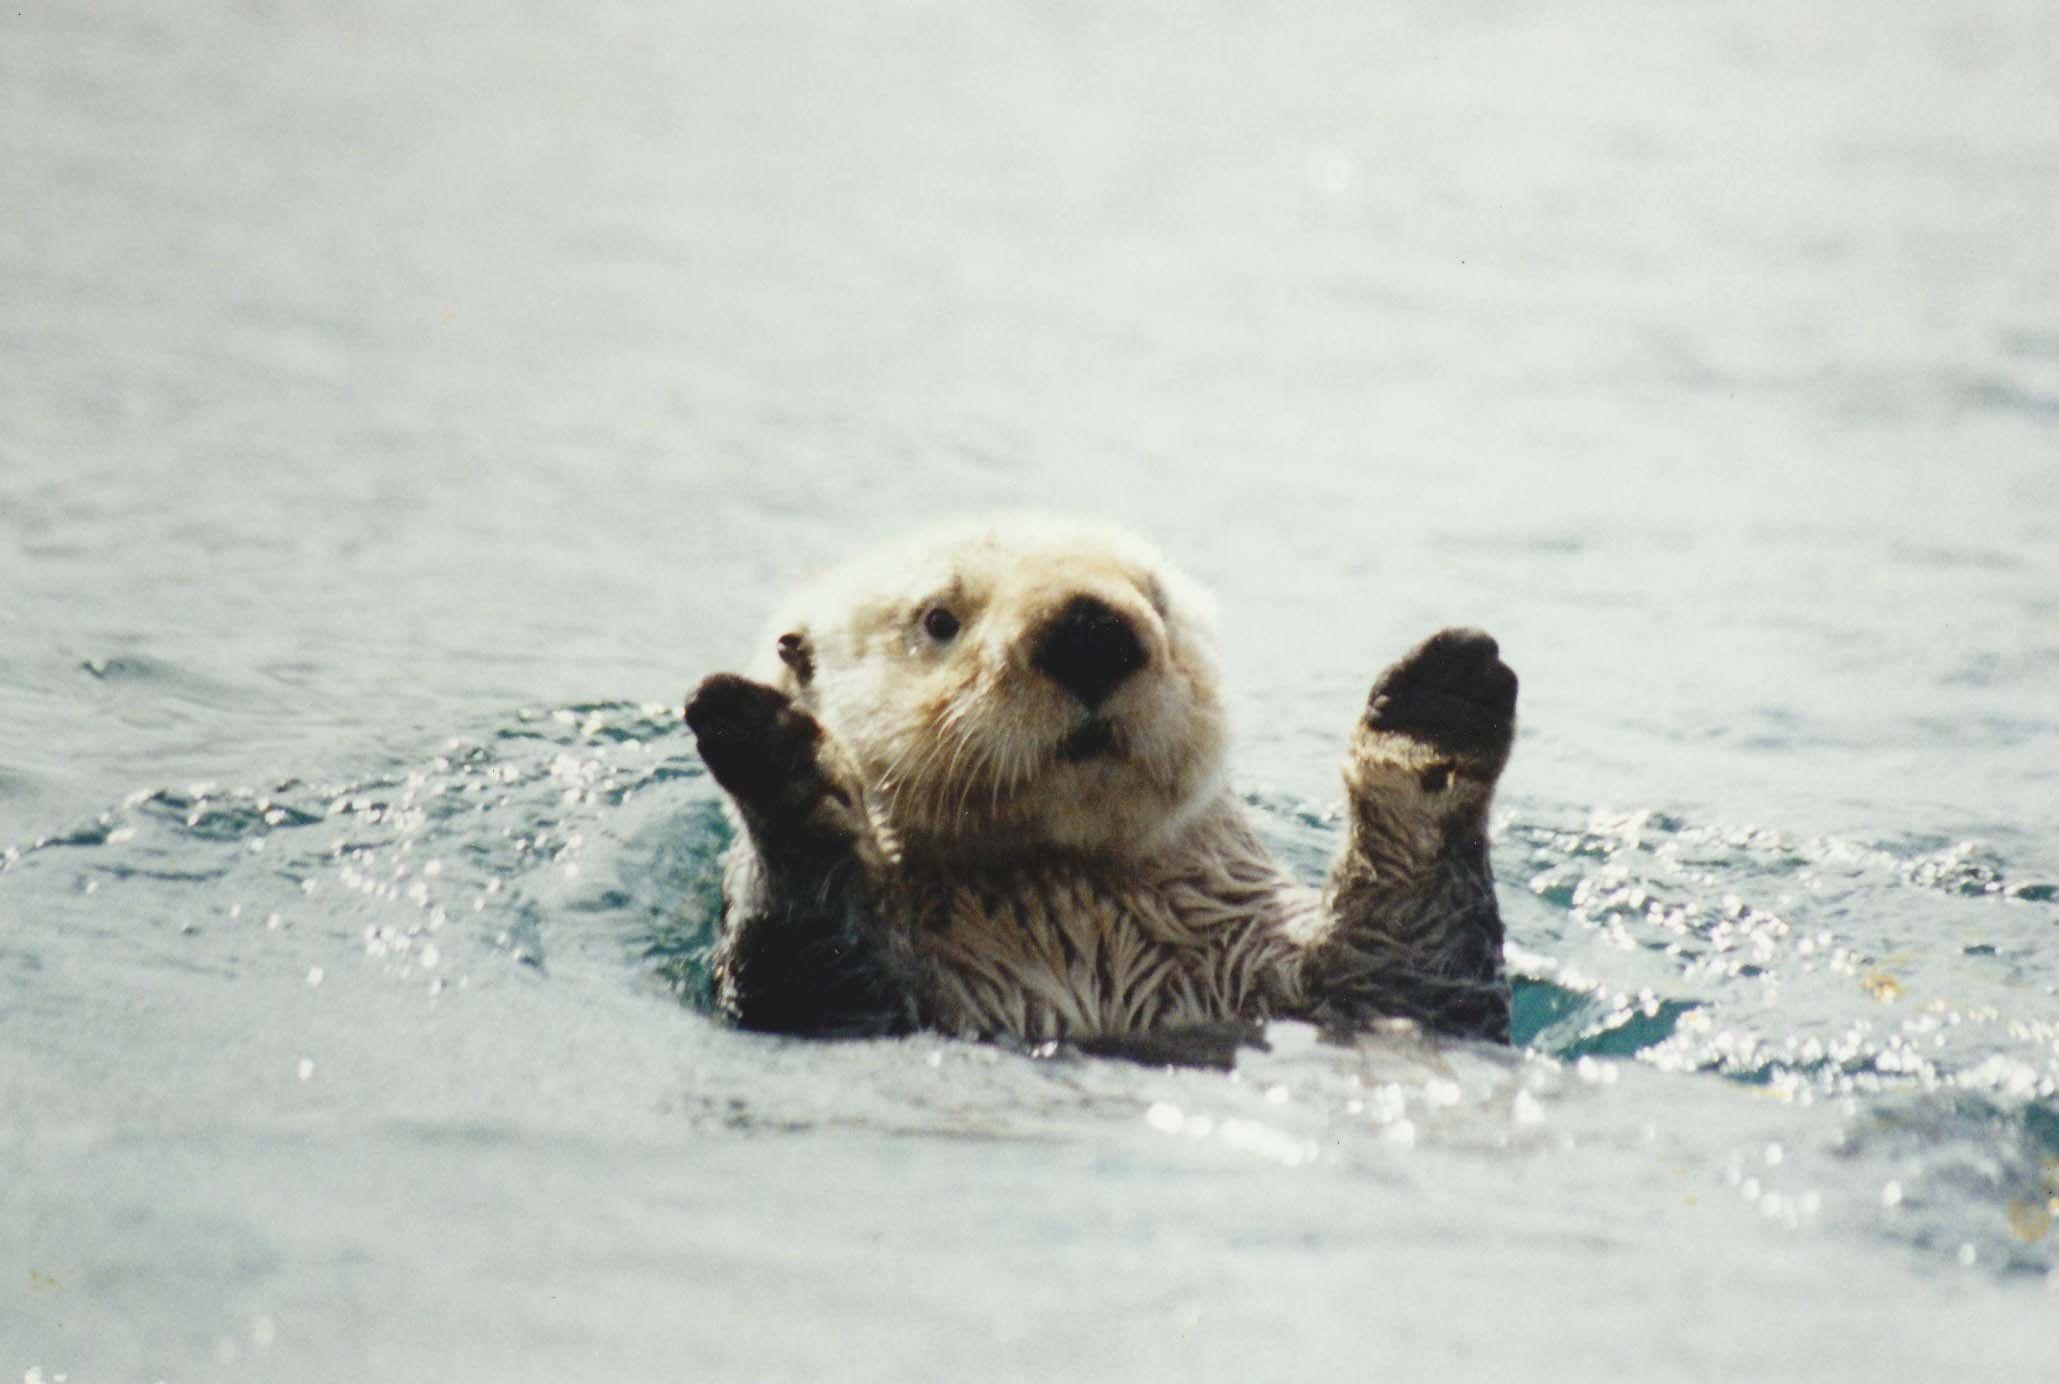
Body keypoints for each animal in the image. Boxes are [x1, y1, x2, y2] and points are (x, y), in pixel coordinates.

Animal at [684, 519, 1517, 1054]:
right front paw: (773, 759)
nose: (1089, 628)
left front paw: (1433, 713)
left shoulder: (1341, 986)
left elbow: (1412, 976)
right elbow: (810, 969)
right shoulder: (855, 1003)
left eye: (1156, 600)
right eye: (940, 618)